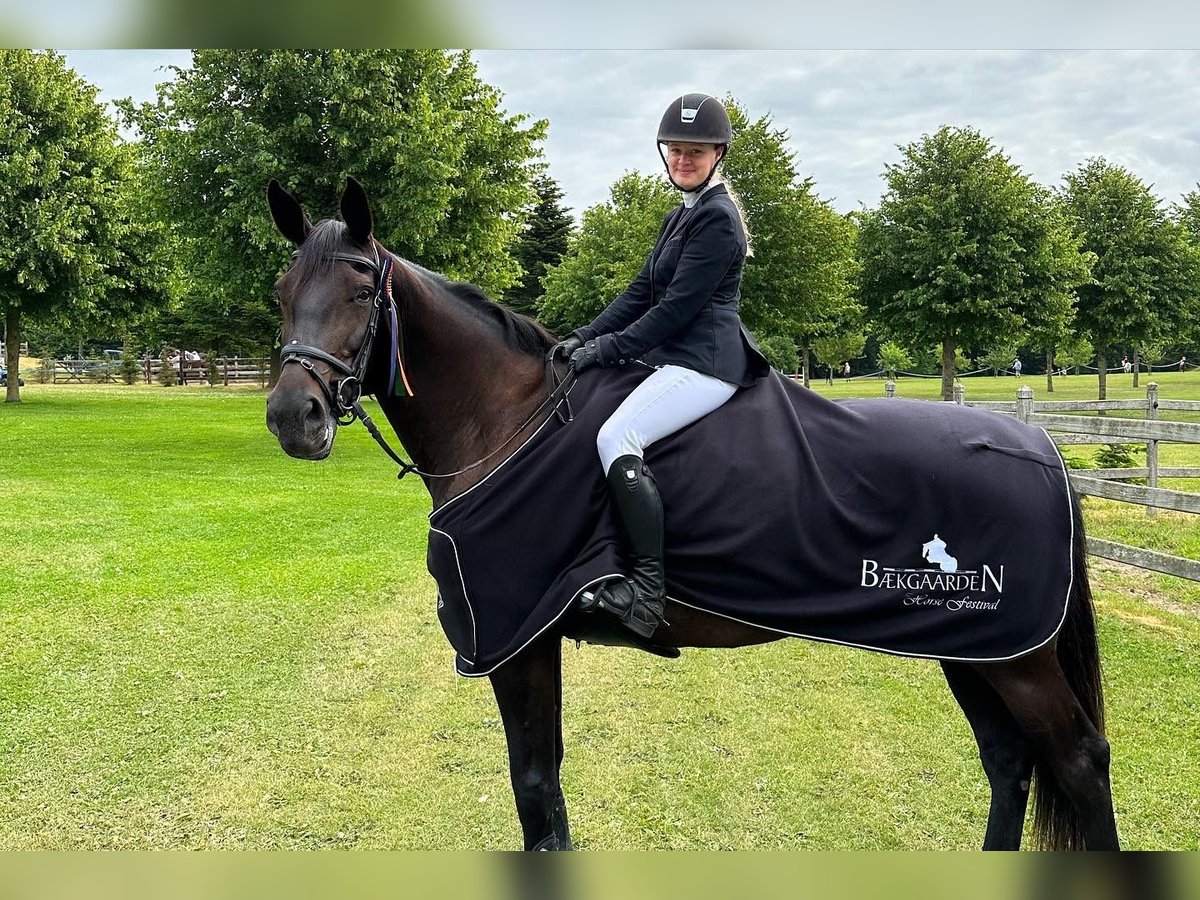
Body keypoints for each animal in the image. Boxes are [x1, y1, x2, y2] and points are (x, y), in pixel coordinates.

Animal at [264, 177, 1119, 851]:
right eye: (282, 294)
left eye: (362, 292)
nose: (292, 417)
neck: (506, 423)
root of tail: (1039, 445)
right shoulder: (529, 639)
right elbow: (545, 790)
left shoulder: (516, 640)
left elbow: (535, 790)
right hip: (972, 645)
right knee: (1008, 762)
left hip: (1018, 658)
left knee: (1079, 759)